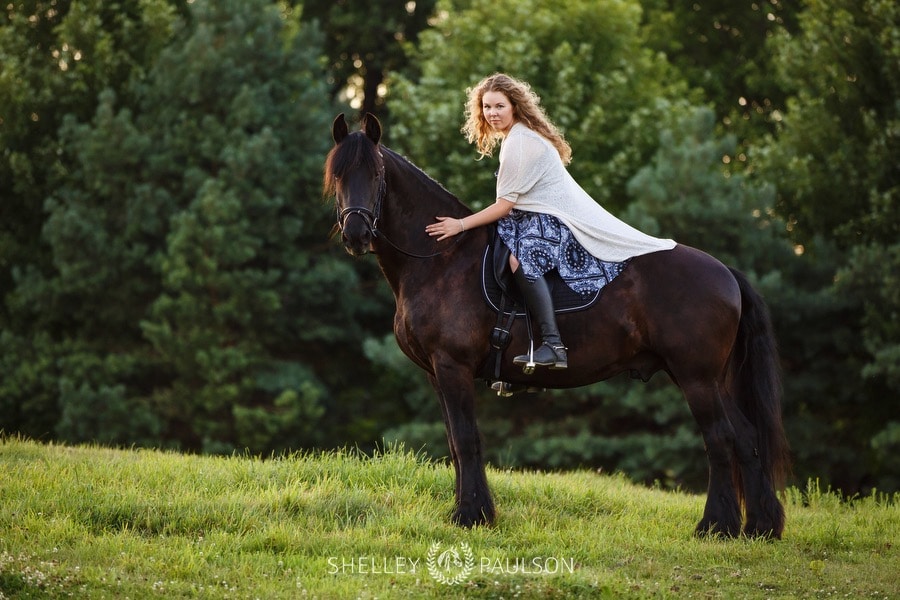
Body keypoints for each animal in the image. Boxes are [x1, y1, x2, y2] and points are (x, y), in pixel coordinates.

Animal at [326, 112, 792, 540]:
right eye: (338, 175)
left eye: (376, 174)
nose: (356, 233)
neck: (442, 259)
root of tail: (725, 273)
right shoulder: (437, 374)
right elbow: (456, 444)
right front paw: (468, 511)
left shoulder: (453, 366)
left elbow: (466, 439)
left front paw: (471, 516)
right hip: (710, 379)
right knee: (747, 439)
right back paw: (761, 526)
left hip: (697, 378)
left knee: (721, 439)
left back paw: (716, 525)